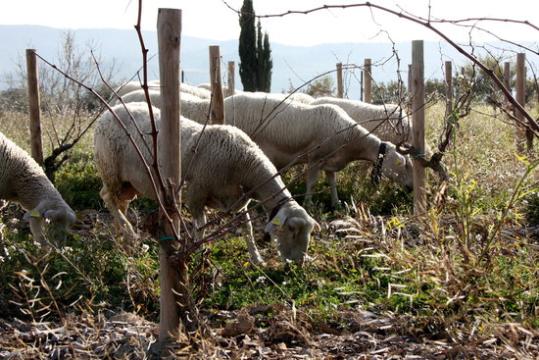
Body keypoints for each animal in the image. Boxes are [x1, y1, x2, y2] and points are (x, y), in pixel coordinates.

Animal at [94, 102, 318, 264]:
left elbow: (247, 228)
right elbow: (200, 227)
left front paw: (256, 259)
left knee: (120, 203)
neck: (244, 163)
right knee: (106, 197)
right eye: (292, 230)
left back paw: (121, 238)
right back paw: (129, 234)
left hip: (129, 184)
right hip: (110, 169)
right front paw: (199, 255)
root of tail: (108, 112)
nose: (299, 264)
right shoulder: (196, 193)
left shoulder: (238, 201)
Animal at [224, 91, 414, 205]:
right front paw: (308, 203)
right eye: (402, 164)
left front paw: (336, 203)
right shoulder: (315, 158)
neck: (349, 137)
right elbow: (312, 183)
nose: (411, 188)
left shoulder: (331, 161)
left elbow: (332, 182)